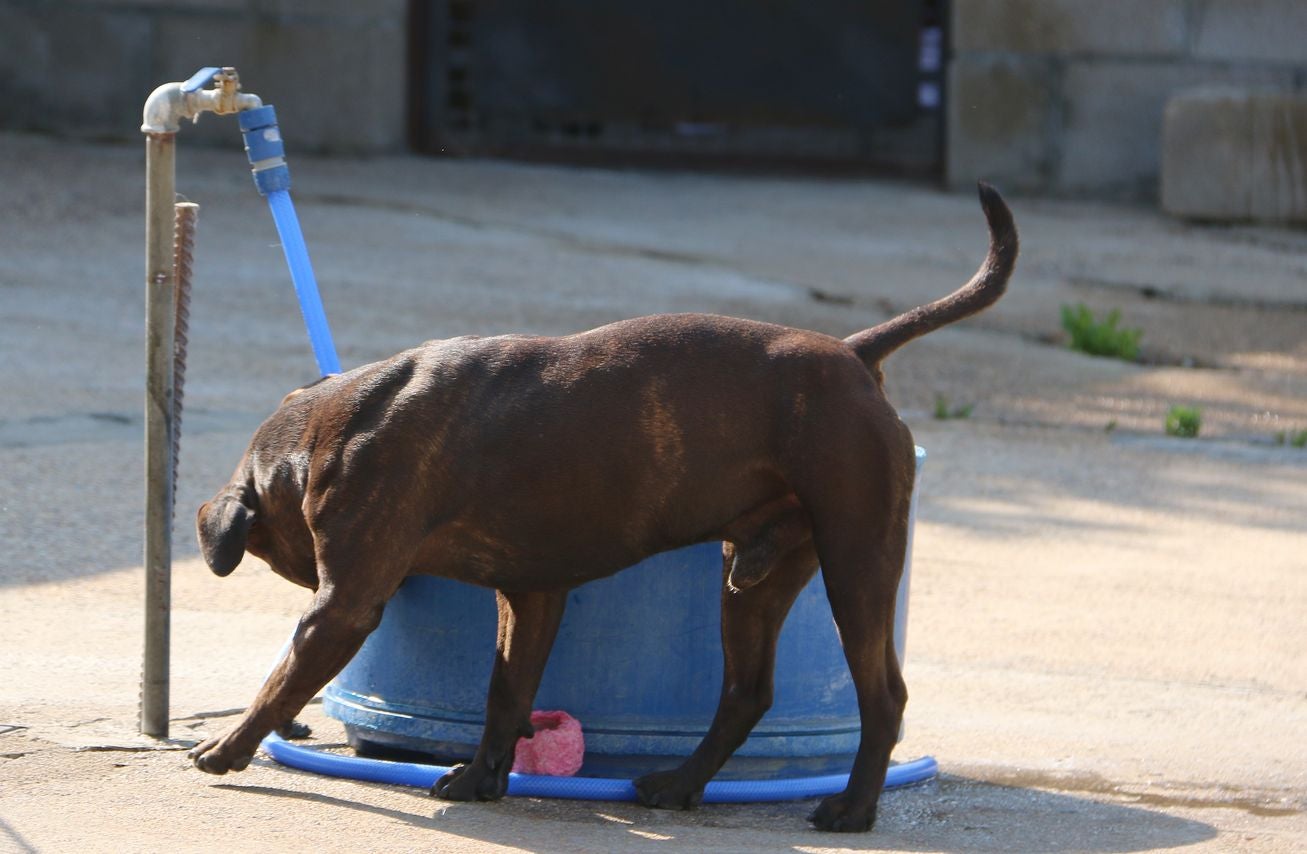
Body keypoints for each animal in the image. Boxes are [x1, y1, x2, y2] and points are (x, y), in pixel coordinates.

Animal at [189, 183, 1014, 831]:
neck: (327, 429)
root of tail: (851, 353)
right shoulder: (529, 596)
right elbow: (505, 692)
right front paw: (483, 778)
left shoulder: (343, 607)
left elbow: (282, 679)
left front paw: (226, 749)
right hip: (754, 578)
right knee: (746, 692)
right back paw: (681, 784)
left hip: (856, 561)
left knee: (882, 694)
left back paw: (851, 808)